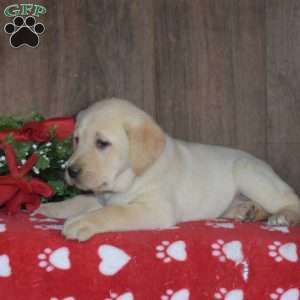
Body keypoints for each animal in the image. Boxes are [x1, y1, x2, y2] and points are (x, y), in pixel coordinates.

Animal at [35, 99, 300, 241]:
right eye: (76, 140)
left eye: (102, 143)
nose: (70, 171)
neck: (133, 176)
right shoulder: (101, 197)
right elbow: (79, 201)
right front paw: (50, 208)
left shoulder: (155, 209)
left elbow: (114, 212)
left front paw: (81, 222)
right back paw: (246, 212)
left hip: (249, 173)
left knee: (290, 199)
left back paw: (281, 216)